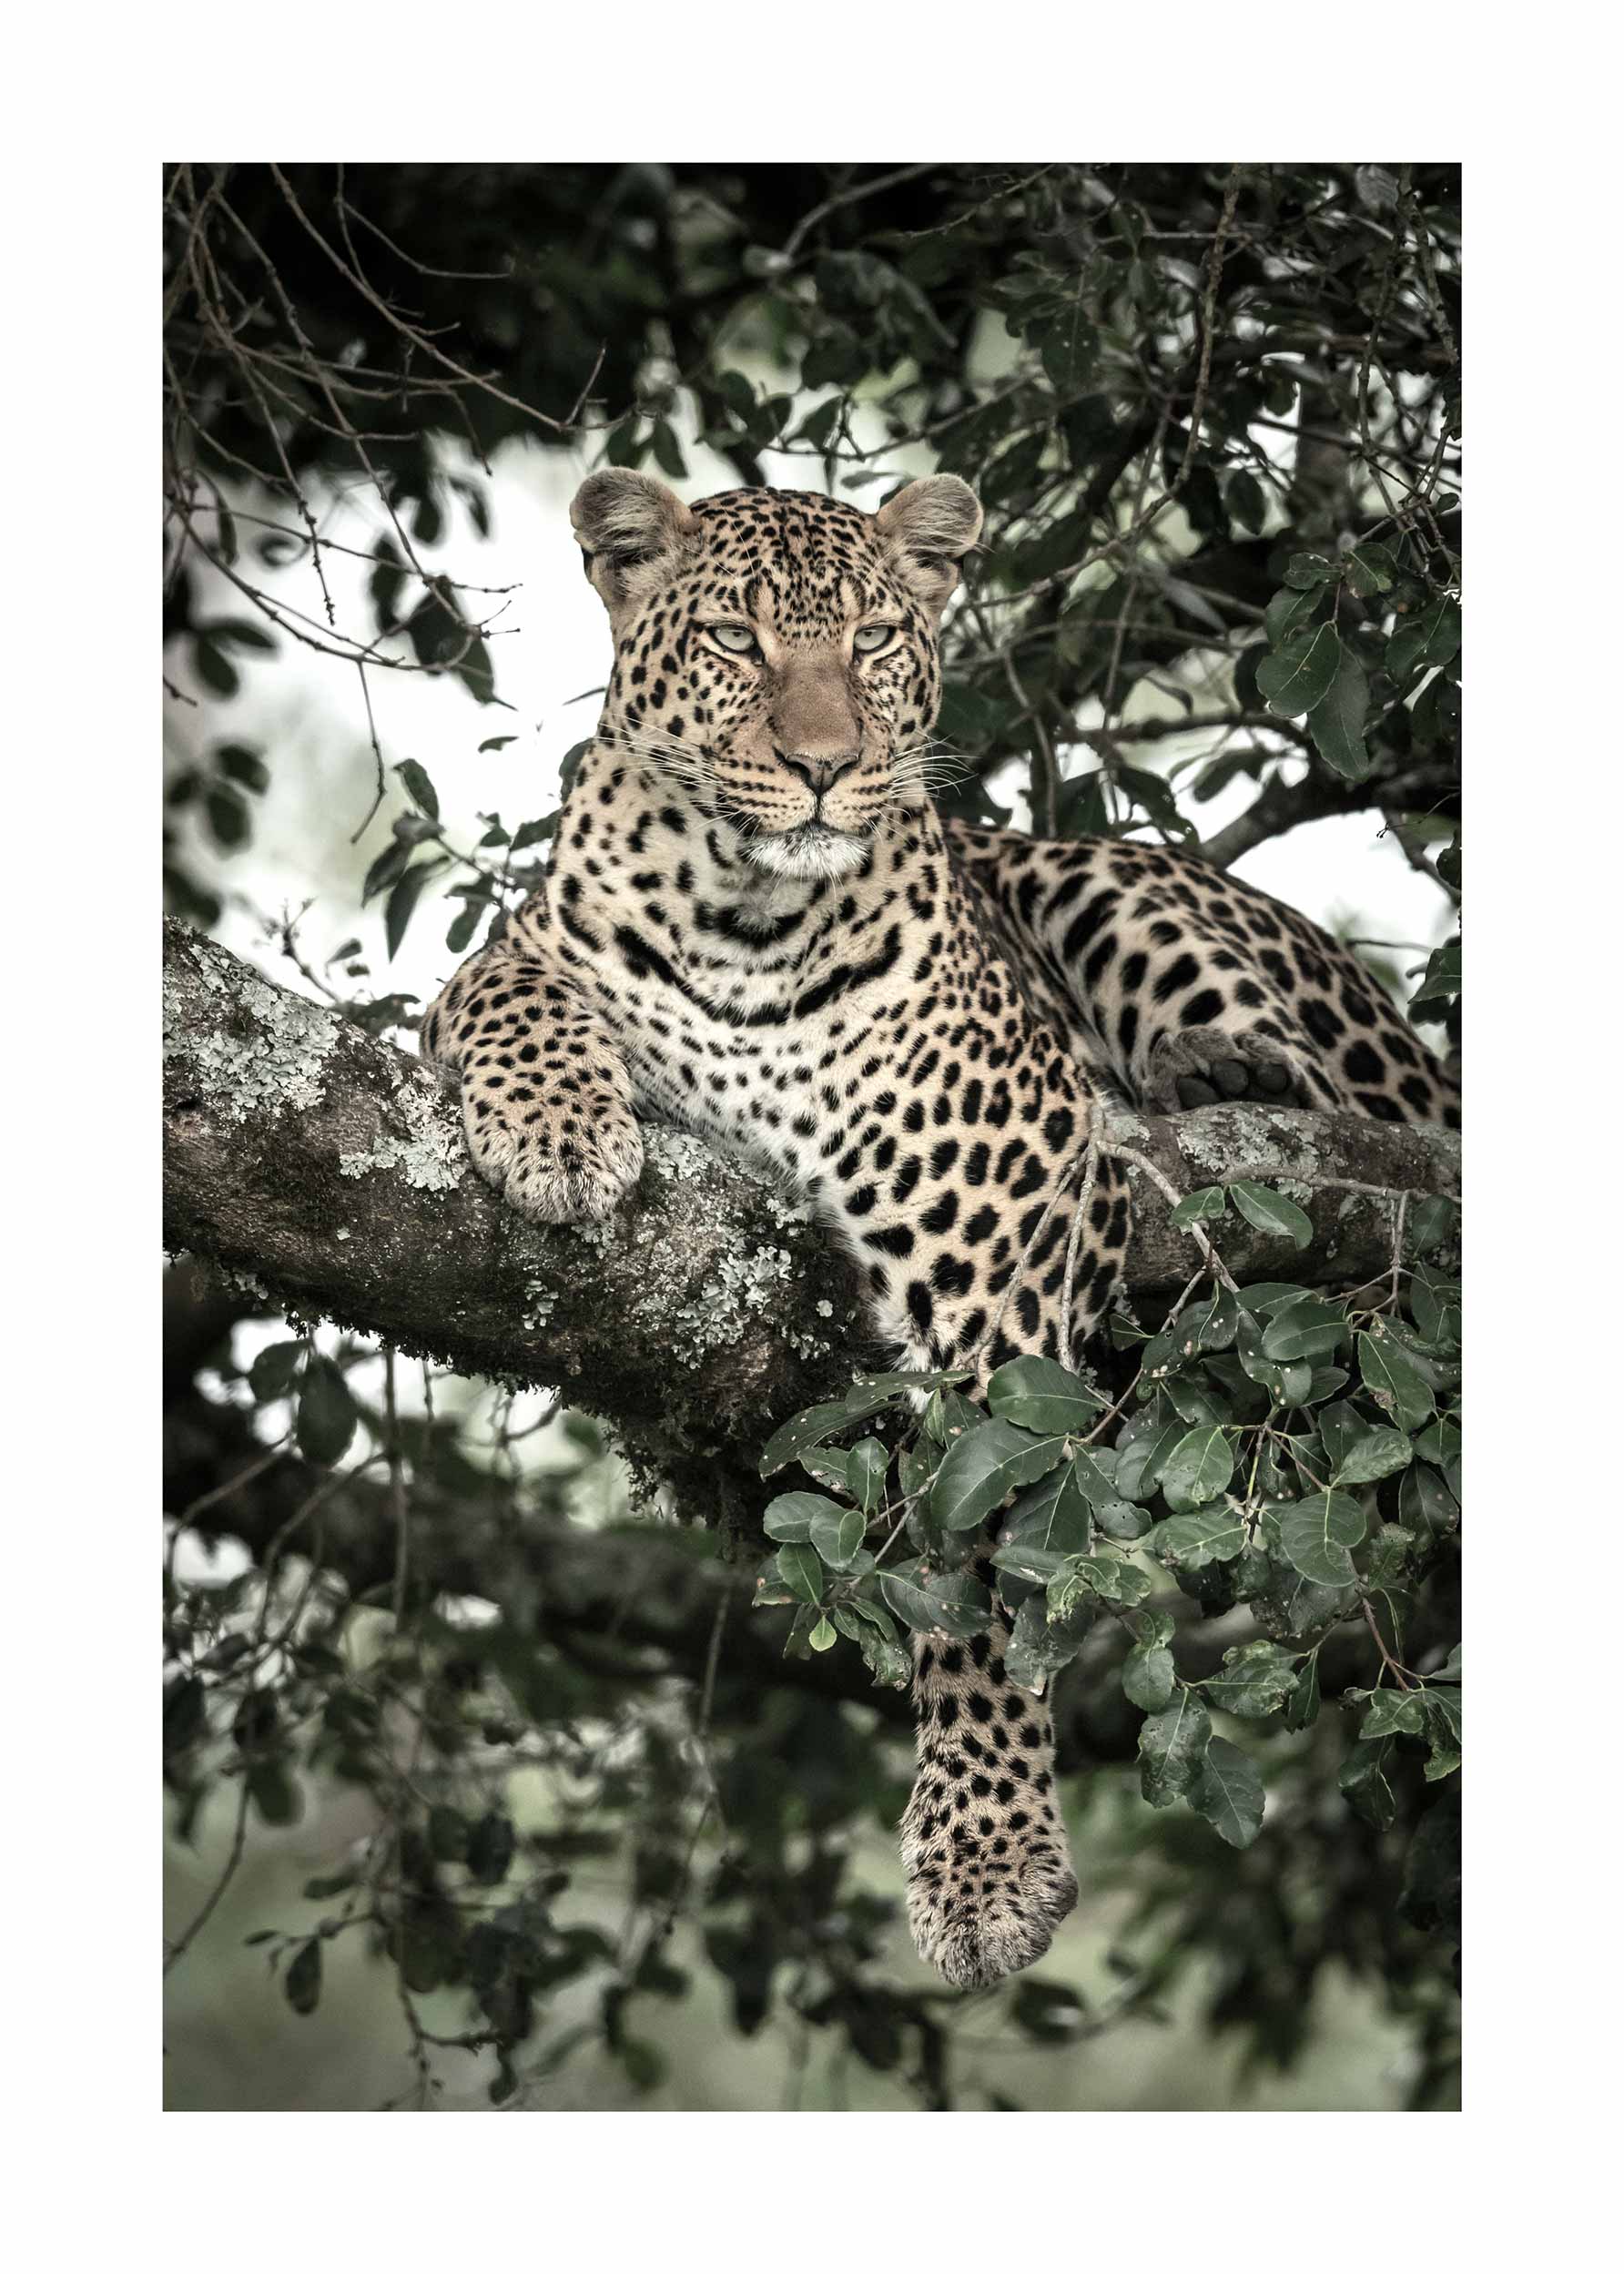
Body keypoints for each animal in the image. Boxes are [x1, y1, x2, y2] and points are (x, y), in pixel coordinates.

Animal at [420, 469, 1460, 1993]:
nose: (821, 764)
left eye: (870, 640)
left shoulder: (998, 1230)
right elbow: (509, 987)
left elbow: (977, 1568)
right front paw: (559, 1135)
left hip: (1122, 900)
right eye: (734, 639)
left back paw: (1214, 1077)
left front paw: (986, 1858)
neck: (747, 919)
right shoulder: (518, 956)